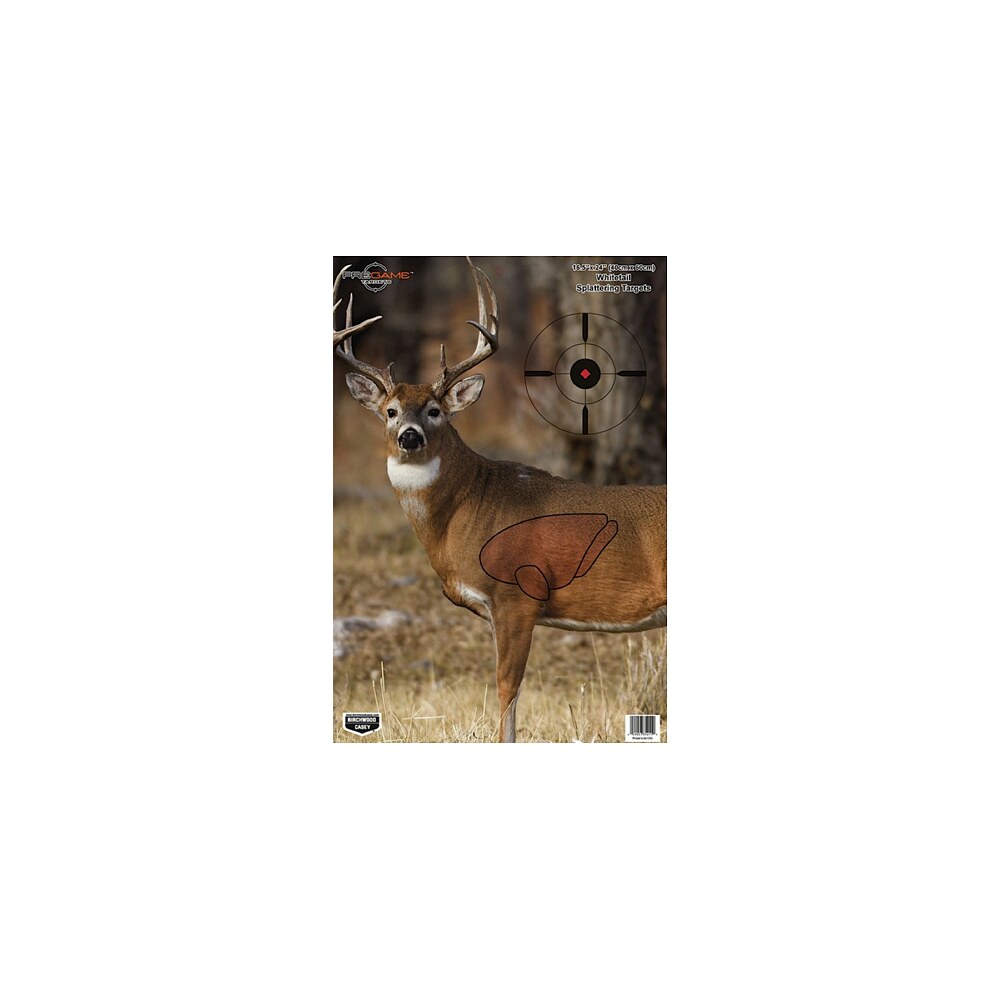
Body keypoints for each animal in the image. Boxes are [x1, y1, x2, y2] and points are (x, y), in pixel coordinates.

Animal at [333, 257, 666, 742]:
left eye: (435, 410)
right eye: (390, 411)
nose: (410, 436)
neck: (468, 510)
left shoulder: (516, 595)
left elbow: (507, 686)